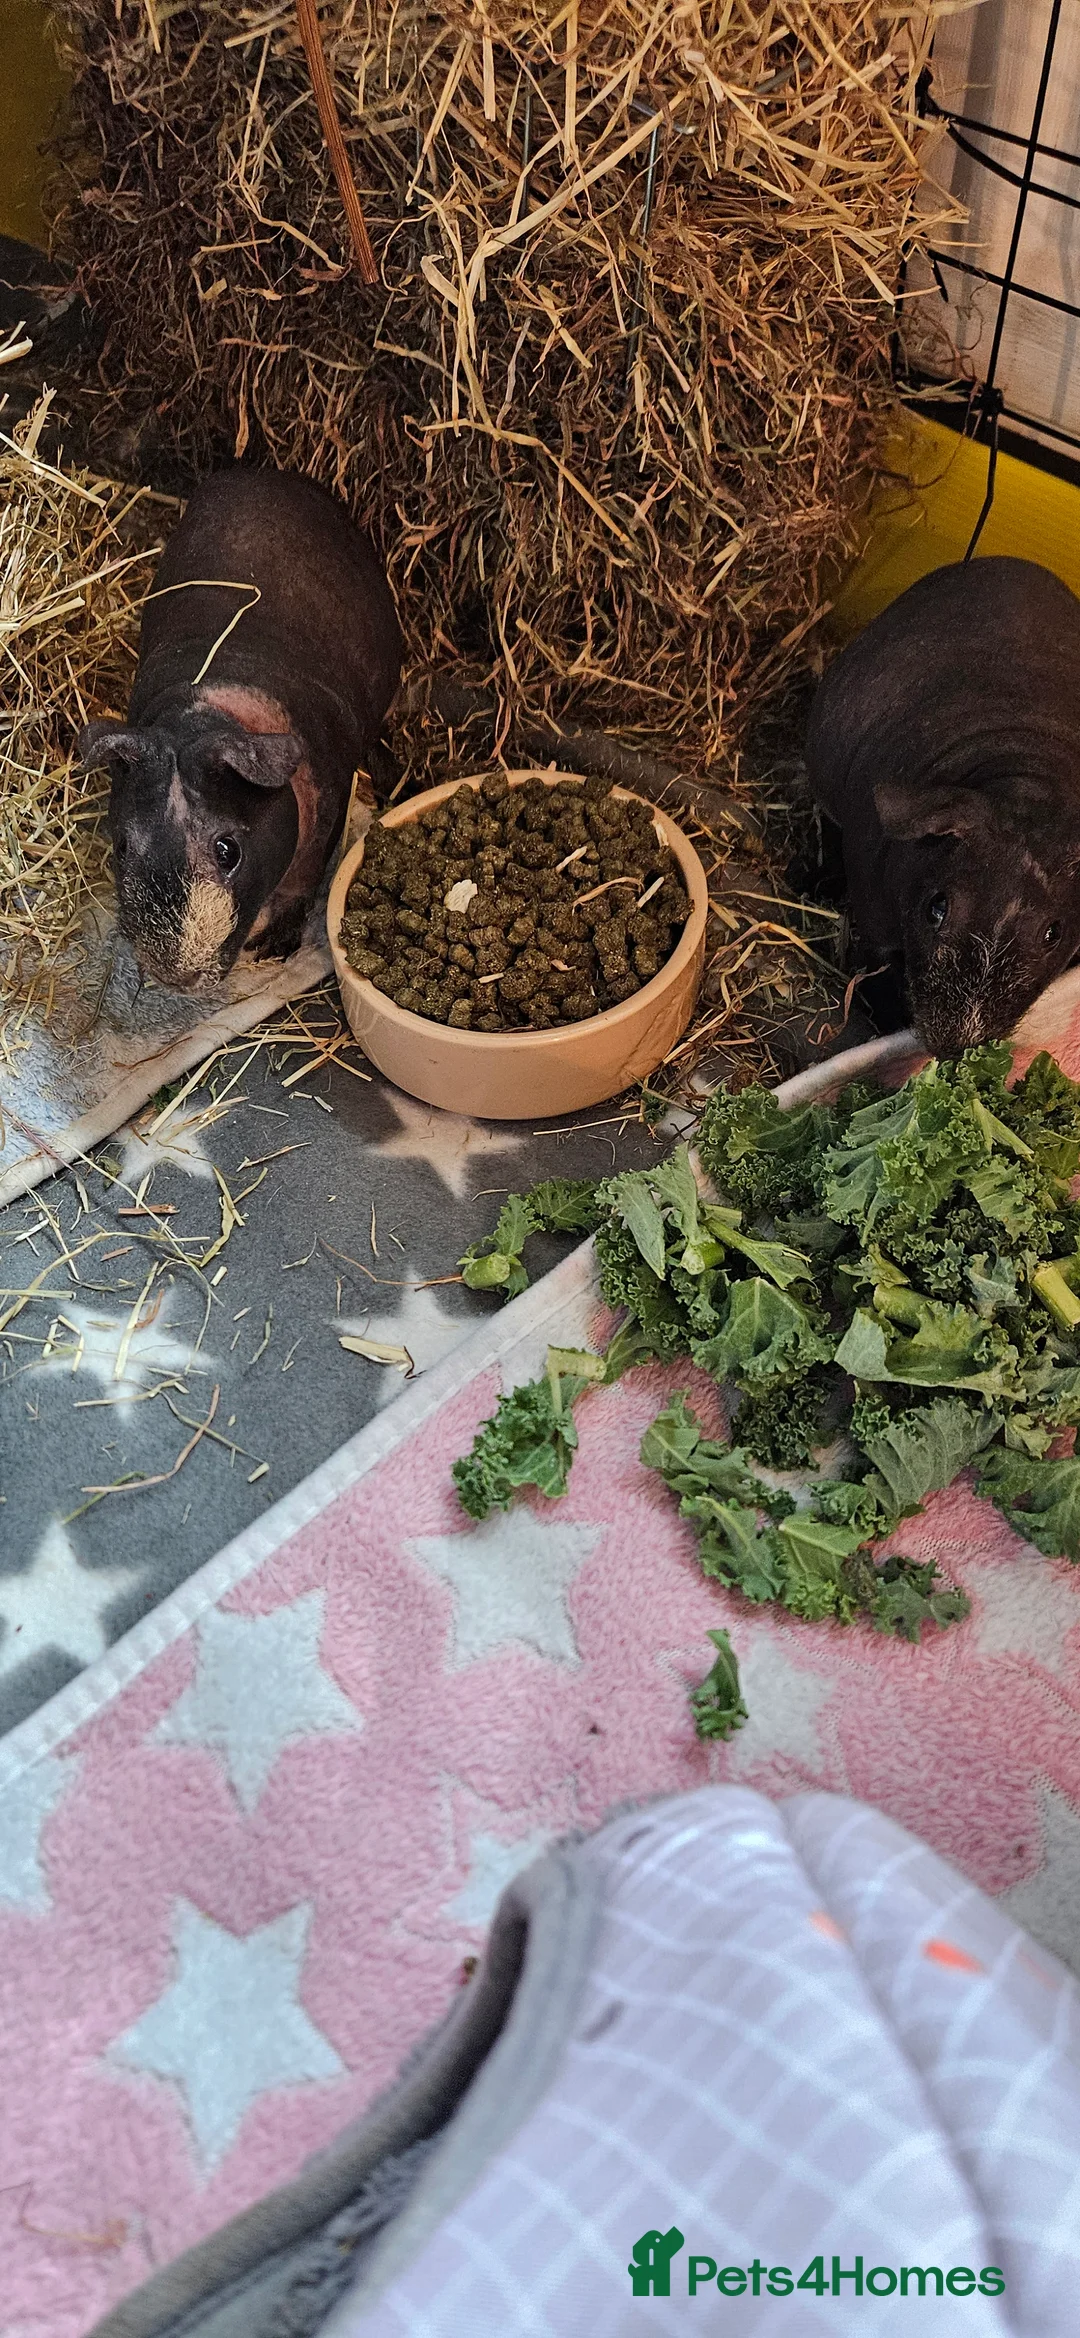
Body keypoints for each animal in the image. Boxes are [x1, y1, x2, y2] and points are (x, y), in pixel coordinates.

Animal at [78, 467, 402, 990]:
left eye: (228, 851)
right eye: (123, 847)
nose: (177, 977)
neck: (198, 717)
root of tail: (267, 472)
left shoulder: (329, 814)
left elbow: (301, 883)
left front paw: (272, 950)